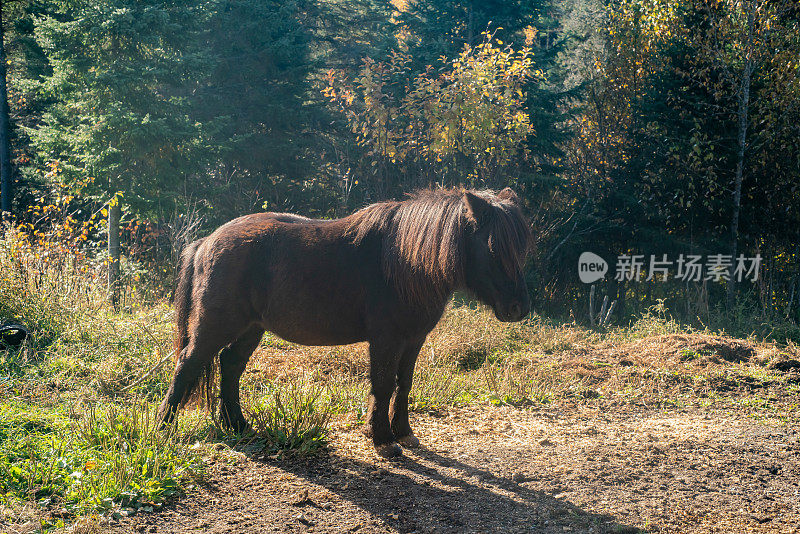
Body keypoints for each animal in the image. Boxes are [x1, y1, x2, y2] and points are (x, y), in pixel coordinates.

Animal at [156, 187, 532, 456]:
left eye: (521, 248)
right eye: (494, 249)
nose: (519, 308)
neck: (404, 262)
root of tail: (206, 241)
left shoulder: (413, 339)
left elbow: (404, 385)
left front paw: (404, 433)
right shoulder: (386, 340)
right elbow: (383, 385)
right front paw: (383, 440)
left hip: (251, 328)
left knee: (230, 365)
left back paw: (238, 425)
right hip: (216, 326)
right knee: (187, 365)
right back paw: (163, 428)